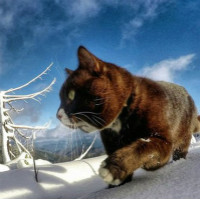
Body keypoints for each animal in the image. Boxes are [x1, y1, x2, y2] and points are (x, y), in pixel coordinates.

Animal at [56, 46, 200, 187]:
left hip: (183, 137)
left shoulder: (164, 141)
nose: (58, 114)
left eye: (71, 95)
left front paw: (113, 168)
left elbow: (144, 146)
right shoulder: (111, 144)